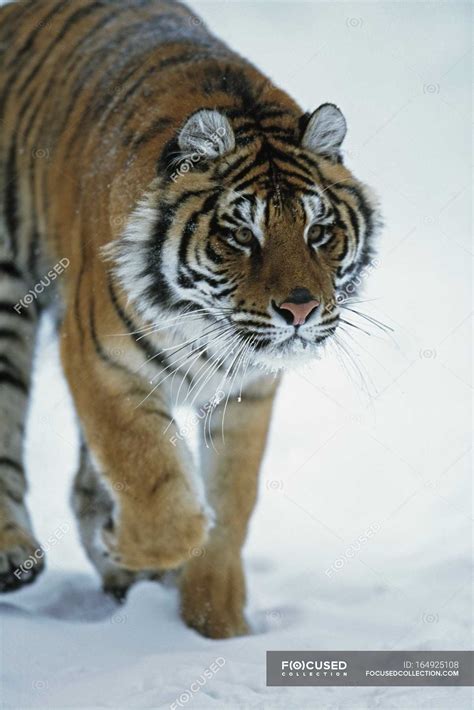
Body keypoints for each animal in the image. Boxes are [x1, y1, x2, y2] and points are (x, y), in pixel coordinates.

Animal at [0, 0, 378, 640]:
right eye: (242, 234)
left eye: (318, 230)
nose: (300, 310)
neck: (207, 329)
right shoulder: (101, 363)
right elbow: (154, 483)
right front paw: (129, 542)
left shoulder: (248, 391)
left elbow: (230, 503)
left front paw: (215, 625)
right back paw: (15, 555)